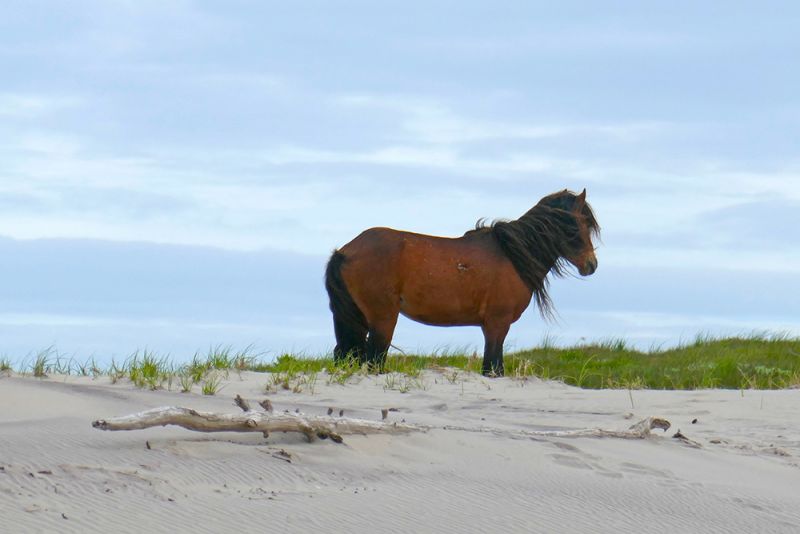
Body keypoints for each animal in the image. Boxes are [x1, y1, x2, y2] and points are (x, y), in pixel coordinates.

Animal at [324, 189, 600, 376]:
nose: (591, 265)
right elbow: (493, 367)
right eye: (577, 225)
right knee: (374, 359)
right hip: (383, 319)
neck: (511, 255)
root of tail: (346, 251)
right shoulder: (497, 324)